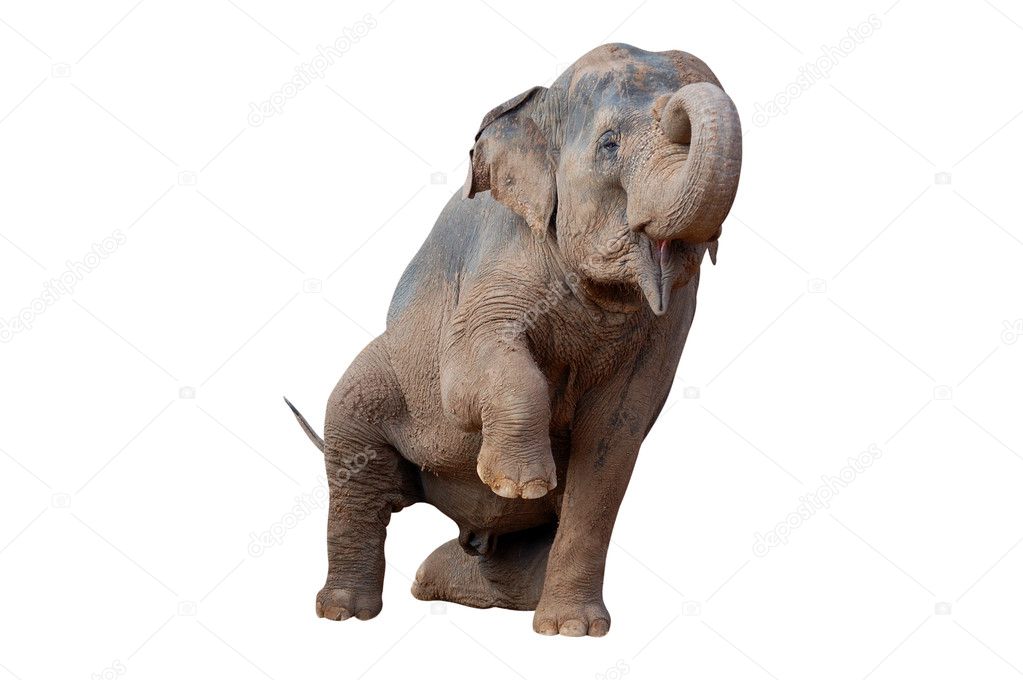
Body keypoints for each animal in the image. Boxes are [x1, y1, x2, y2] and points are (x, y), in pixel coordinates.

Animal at [286, 42, 742, 636]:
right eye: (609, 143)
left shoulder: (667, 328)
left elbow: (613, 438)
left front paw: (573, 631)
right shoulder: (497, 260)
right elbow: (465, 373)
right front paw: (520, 483)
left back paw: (479, 595)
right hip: (375, 380)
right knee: (359, 475)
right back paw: (347, 612)